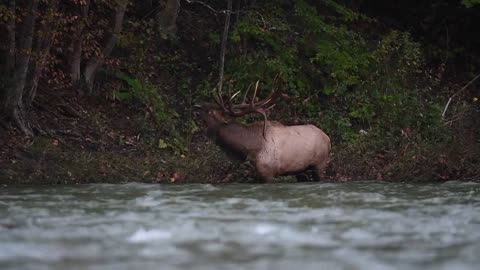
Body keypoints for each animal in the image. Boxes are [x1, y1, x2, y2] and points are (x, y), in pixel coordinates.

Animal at [196, 79, 330, 182]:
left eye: (210, 111)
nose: (197, 105)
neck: (248, 149)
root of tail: (328, 139)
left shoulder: (268, 172)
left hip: (320, 164)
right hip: (303, 170)